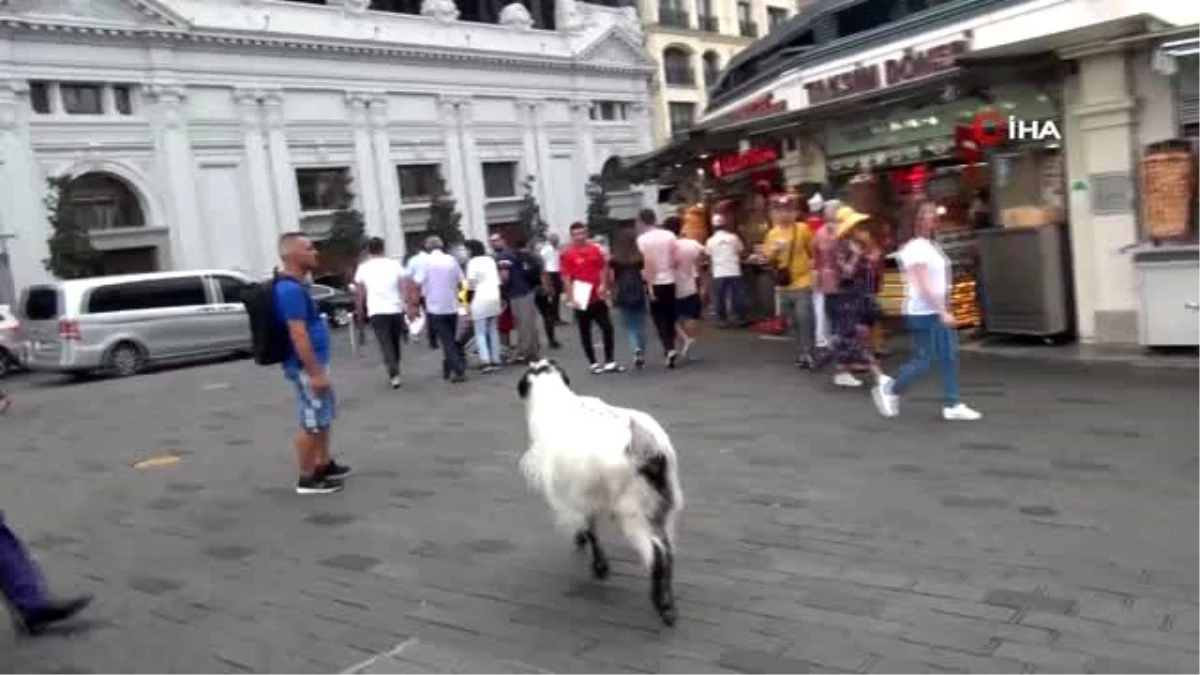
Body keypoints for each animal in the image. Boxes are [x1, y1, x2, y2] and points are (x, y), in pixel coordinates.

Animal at [516, 360, 686, 624]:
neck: (557, 403)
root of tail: (651, 452)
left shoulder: (571, 492)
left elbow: (587, 526)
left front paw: (599, 567)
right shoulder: (584, 493)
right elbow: (588, 523)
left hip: (631, 511)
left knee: (657, 553)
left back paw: (662, 607)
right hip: (664, 505)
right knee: (668, 550)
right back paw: (668, 603)